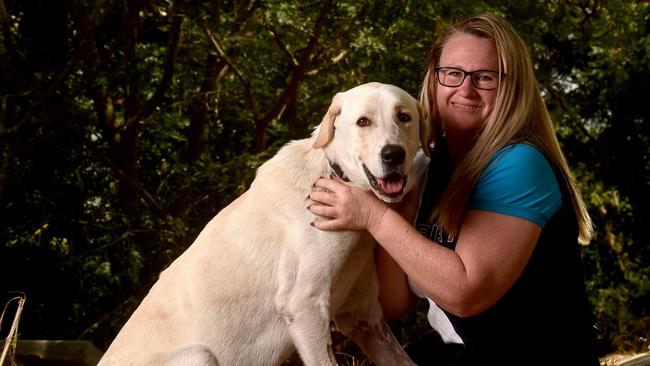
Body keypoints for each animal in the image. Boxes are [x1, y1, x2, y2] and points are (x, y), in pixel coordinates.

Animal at [97, 83, 426, 366]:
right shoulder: (304, 306)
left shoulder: (365, 319)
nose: (393, 154)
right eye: (363, 122)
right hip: (200, 354)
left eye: (404, 117)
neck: (336, 177)